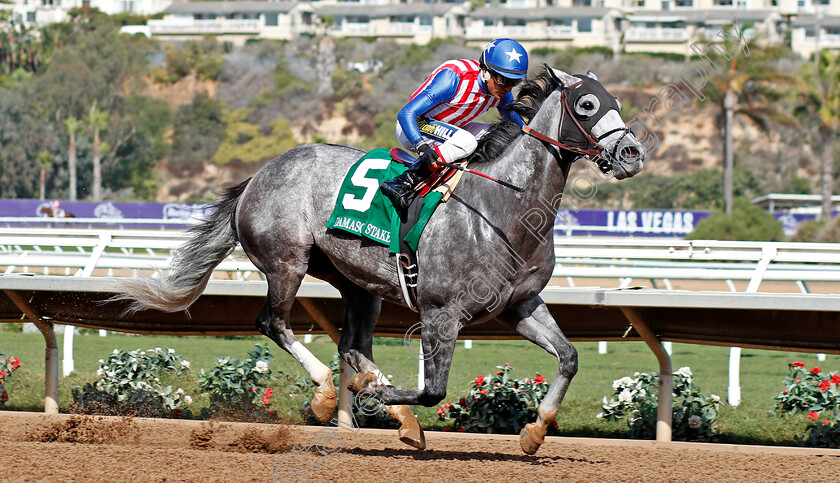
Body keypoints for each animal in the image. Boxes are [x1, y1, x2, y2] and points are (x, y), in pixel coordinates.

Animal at [115, 66, 648, 456]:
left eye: (617, 103)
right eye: (587, 105)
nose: (631, 152)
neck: (505, 208)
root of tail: (261, 173)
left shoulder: (519, 304)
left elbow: (569, 357)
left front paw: (535, 431)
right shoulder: (441, 312)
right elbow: (433, 391)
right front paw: (376, 398)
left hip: (358, 283)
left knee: (353, 344)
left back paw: (390, 408)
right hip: (287, 262)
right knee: (275, 323)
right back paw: (328, 394)